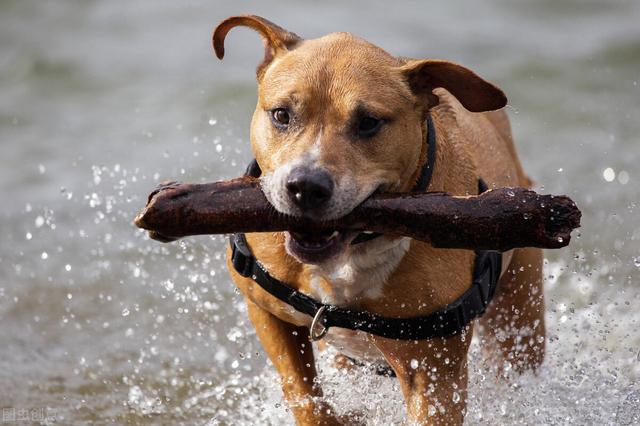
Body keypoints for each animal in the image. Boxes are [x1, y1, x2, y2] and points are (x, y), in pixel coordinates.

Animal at [212, 15, 544, 424]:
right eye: (281, 115)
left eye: (368, 122)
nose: (305, 185)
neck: (354, 250)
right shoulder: (265, 310)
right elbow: (303, 393)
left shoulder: (433, 368)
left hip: (520, 312)